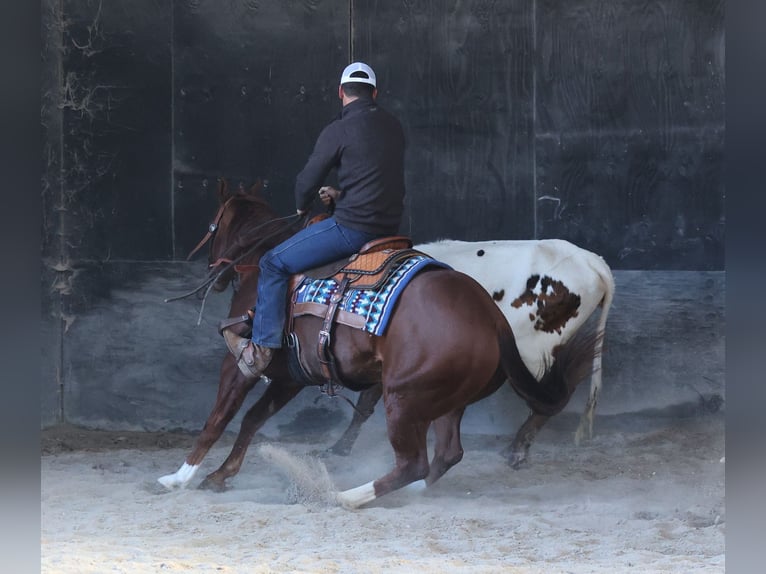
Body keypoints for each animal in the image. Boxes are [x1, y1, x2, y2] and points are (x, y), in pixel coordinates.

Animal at [159, 183, 604, 508]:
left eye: (213, 226)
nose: (216, 272)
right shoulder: (291, 375)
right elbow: (253, 419)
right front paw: (220, 475)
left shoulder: (242, 363)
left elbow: (219, 418)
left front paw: (181, 476)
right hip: (450, 396)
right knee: (446, 454)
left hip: (407, 394)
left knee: (415, 460)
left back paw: (342, 496)